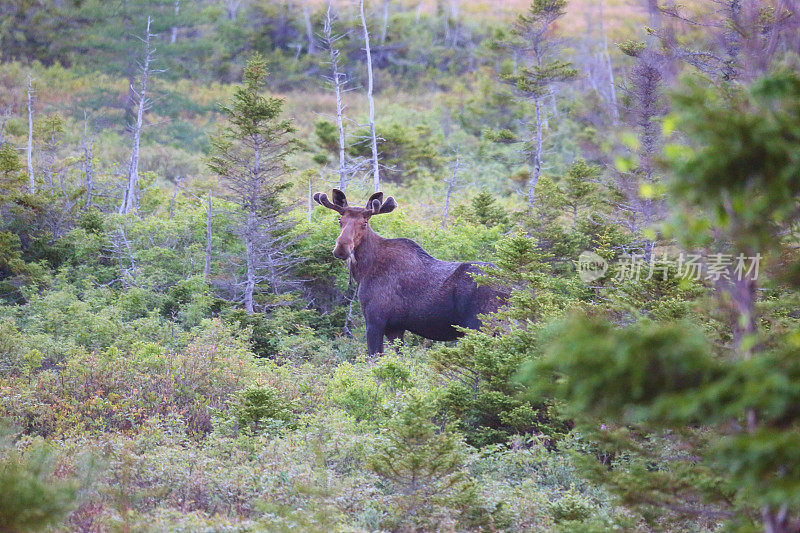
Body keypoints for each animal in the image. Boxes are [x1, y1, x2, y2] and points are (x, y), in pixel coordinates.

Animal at [312, 189, 506, 356]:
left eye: (364, 223)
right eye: (340, 220)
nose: (341, 248)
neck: (363, 271)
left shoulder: (375, 320)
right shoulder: (395, 327)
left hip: (481, 325)